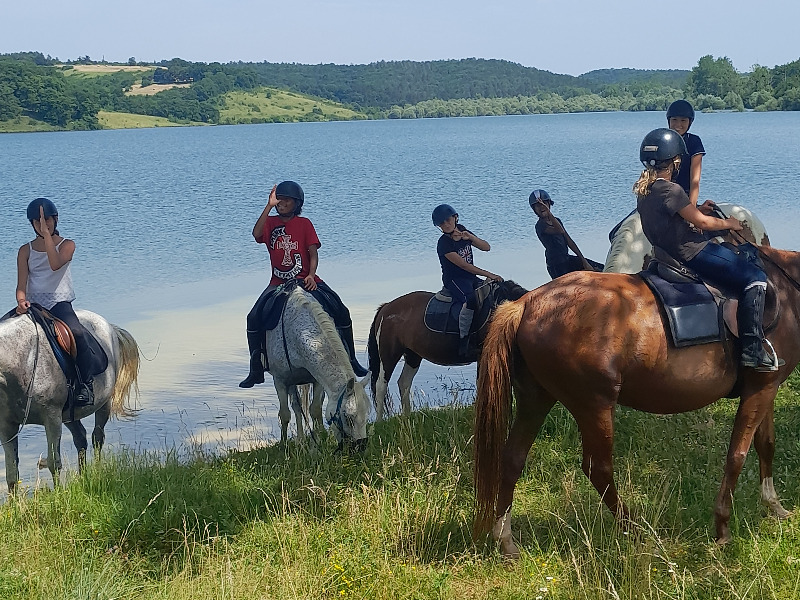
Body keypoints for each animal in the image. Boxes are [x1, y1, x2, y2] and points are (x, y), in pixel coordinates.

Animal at [0, 309, 140, 491]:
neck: (24, 360)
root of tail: (109, 327)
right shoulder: (7, 425)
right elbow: (11, 474)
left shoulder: (52, 417)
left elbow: (54, 462)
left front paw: (58, 494)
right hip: (69, 416)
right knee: (80, 438)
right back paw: (83, 477)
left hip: (103, 404)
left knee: (97, 437)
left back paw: (96, 473)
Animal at [265, 284, 370, 448]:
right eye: (348, 417)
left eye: (366, 415)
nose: (361, 446)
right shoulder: (281, 380)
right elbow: (285, 414)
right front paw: (284, 446)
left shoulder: (317, 379)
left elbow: (315, 409)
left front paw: (320, 439)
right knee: (296, 407)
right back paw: (301, 440)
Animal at [367, 279, 528, 421]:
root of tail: (386, 307)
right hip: (389, 355)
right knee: (381, 385)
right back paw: (379, 422)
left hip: (412, 355)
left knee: (404, 383)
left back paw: (407, 418)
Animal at [473, 245, 800, 559]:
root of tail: (526, 303)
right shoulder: (761, 388)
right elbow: (737, 456)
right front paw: (722, 528)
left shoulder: (766, 387)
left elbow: (765, 444)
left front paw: (775, 507)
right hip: (595, 405)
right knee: (598, 469)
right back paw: (638, 532)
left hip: (536, 400)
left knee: (512, 459)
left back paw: (506, 541)